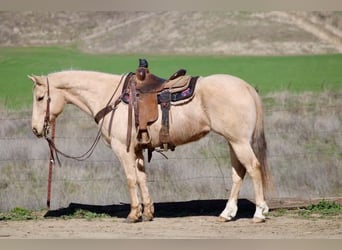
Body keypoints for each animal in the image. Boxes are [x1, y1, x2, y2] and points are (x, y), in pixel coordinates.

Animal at [28, 69, 270, 223]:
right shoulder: (137, 150)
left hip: (239, 142)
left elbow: (130, 179)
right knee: (238, 173)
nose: (35, 129)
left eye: (40, 98)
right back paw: (227, 213)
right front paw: (148, 213)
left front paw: (133, 214)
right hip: (233, 142)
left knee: (253, 168)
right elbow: (142, 178)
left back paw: (259, 213)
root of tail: (246, 87)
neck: (110, 97)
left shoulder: (123, 149)